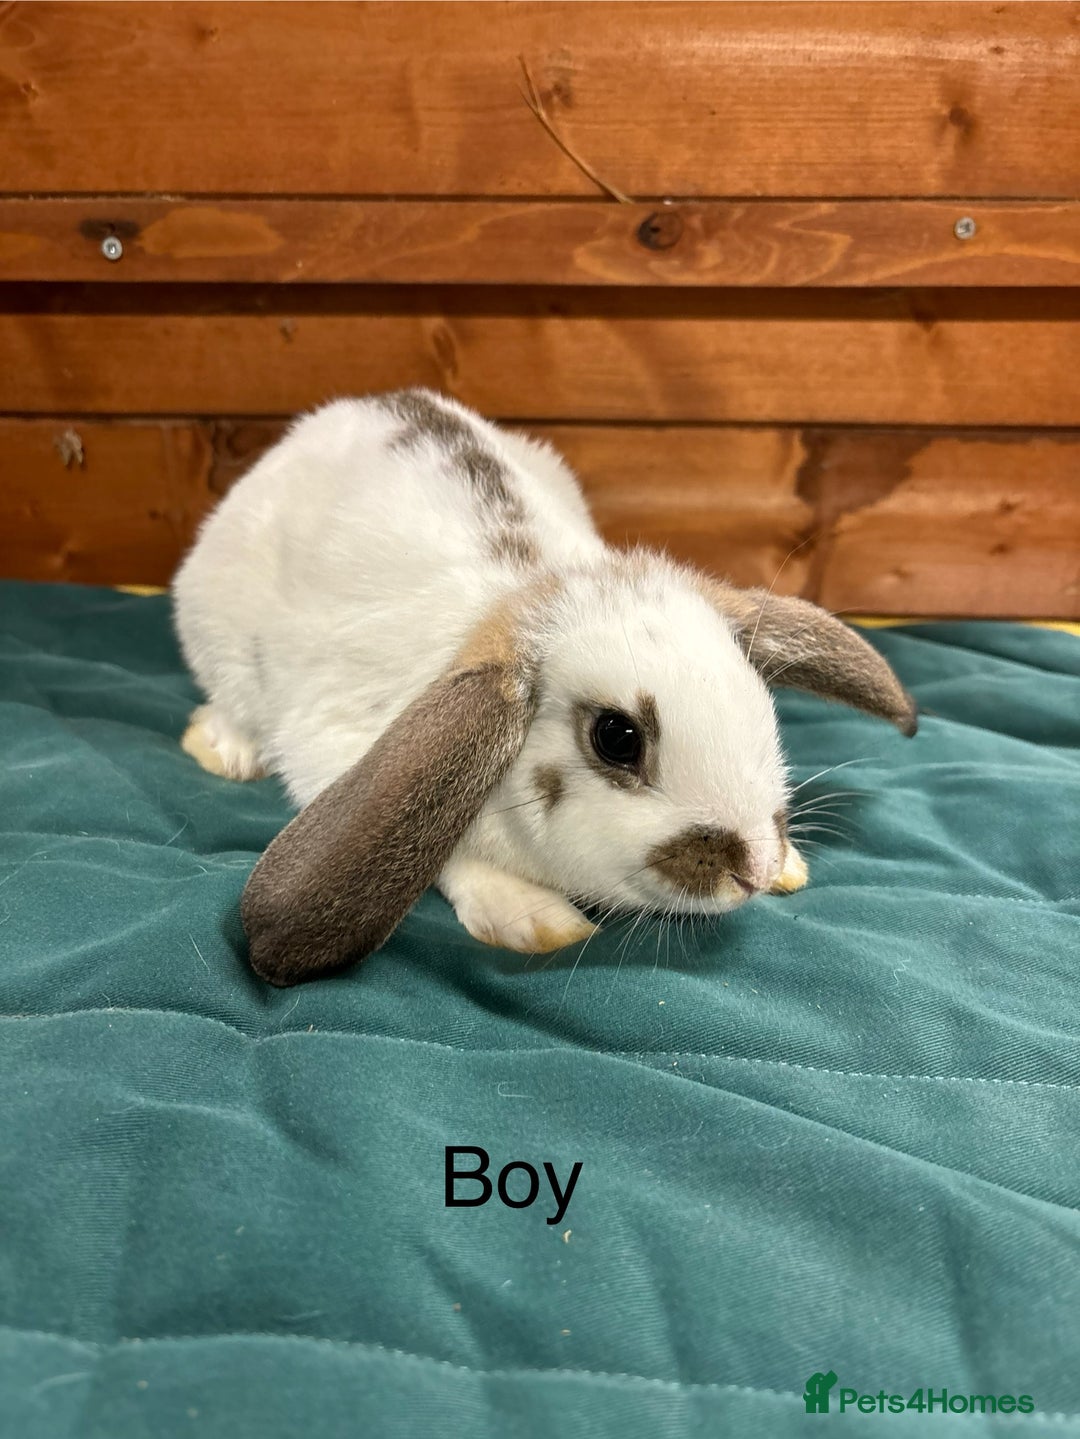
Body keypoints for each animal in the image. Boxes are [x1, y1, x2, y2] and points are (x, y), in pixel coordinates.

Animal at [172, 388, 917, 987]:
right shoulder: (334, 743)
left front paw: (791, 864)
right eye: (617, 737)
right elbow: (449, 850)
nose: (755, 870)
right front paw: (532, 918)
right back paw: (225, 751)